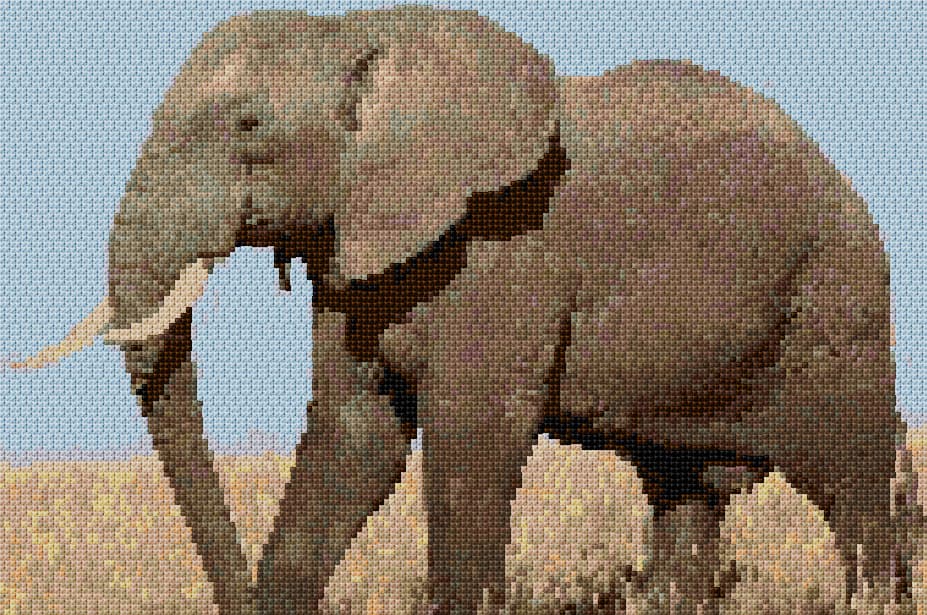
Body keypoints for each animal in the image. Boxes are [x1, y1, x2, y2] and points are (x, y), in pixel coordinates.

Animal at [11, 5, 920, 614]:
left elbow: (470, 431)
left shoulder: (507, 254)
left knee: (853, 478)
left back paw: (877, 591)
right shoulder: (355, 250)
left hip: (836, 299)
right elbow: (356, 434)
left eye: (250, 125)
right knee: (681, 490)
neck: (358, 32)